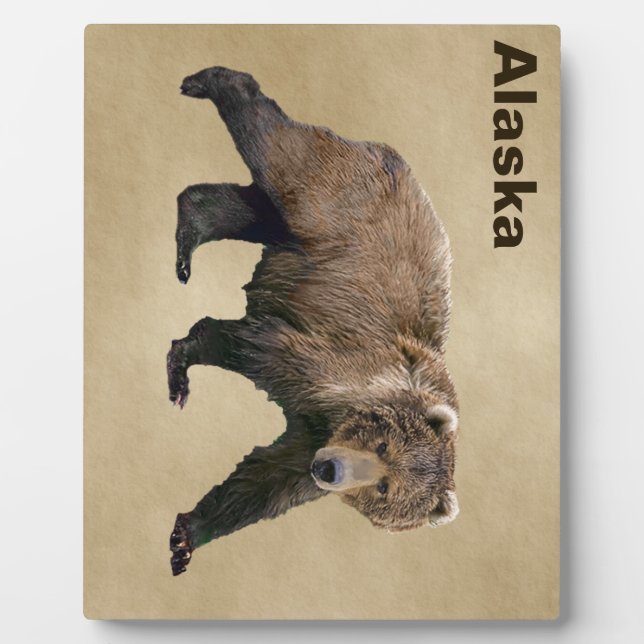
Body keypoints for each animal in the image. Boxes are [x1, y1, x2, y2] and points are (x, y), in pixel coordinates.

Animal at [167, 67, 459, 576]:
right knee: (273, 143)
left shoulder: (312, 438)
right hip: (330, 200)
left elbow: (264, 481)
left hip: (303, 232)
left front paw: (187, 537)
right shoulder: (331, 362)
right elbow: (250, 344)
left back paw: (190, 230)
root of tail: (384, 151)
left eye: (384, 488)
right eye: (383, 449)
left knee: (244, 208)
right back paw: (207, 82)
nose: (331, 469)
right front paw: (183, 369)